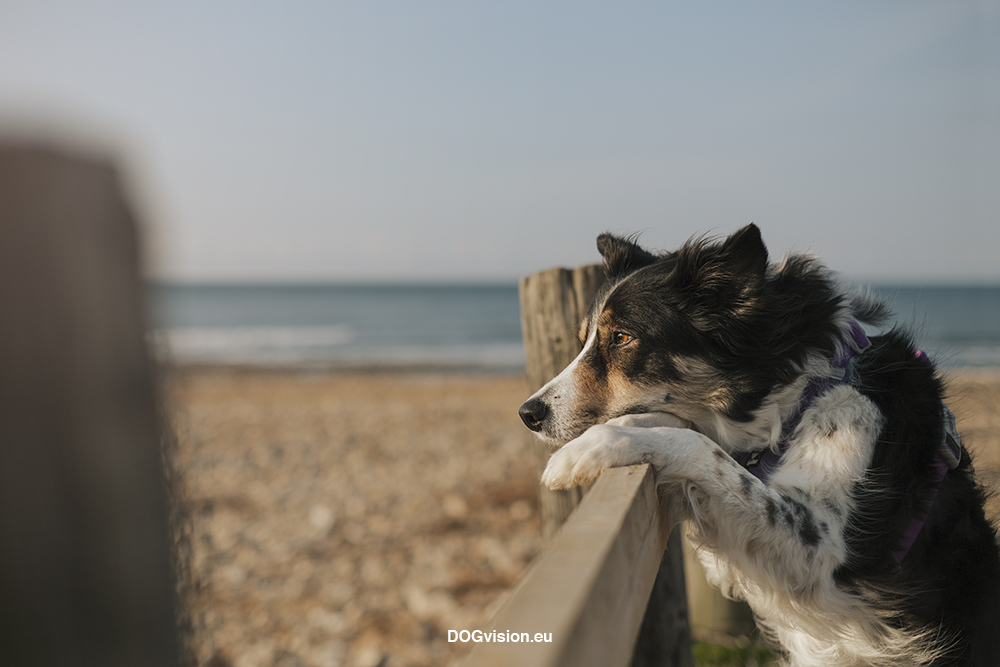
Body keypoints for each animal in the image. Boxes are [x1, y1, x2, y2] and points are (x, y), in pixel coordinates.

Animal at [520, 226, 996, 667]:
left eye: (621, 337)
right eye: (584, 339)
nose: (528, 413)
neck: (796, 396)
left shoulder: (819, 550)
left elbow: (701, 448)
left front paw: (595, 445)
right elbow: (692, 434)